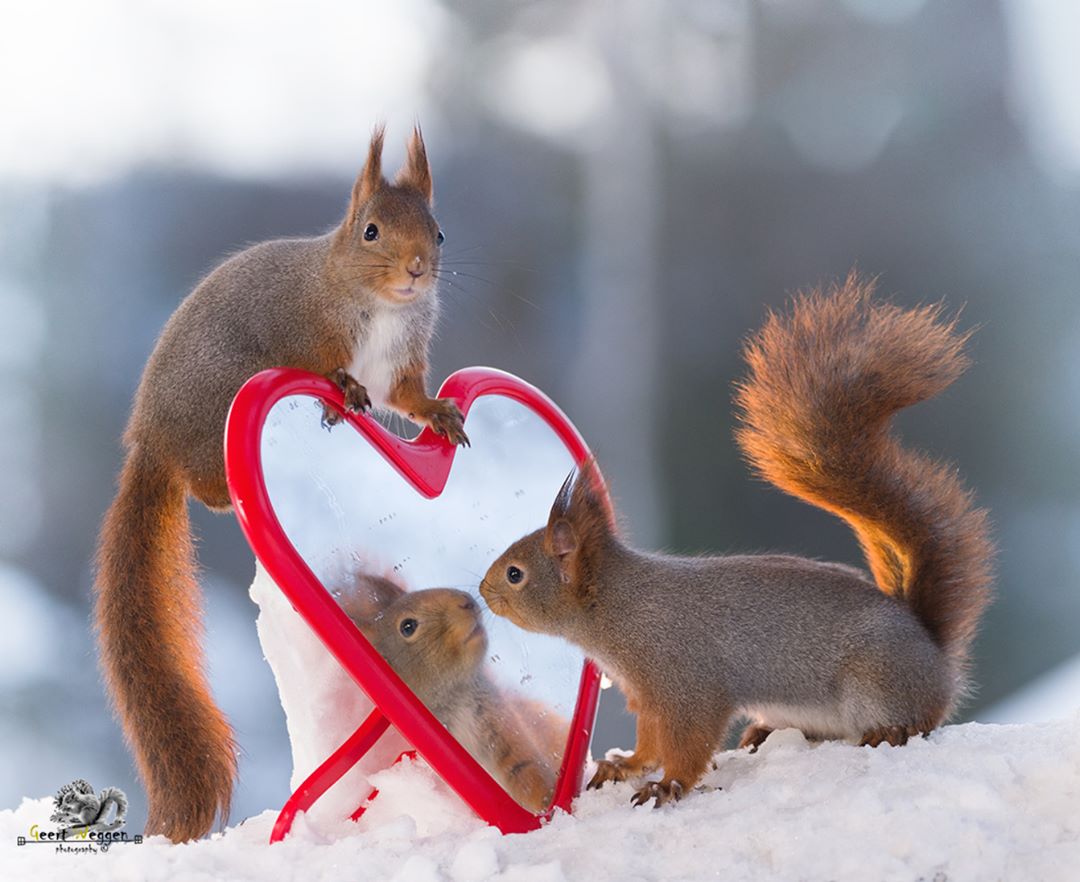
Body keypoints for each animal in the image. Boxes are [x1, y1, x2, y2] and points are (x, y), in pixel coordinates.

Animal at [91, 125, 464, 837]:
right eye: (370, 231)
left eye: (438, 233)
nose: (415, 271)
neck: (375, 303)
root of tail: (152, 441)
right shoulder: (312, 329)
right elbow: (327, 365)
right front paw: (342, 390)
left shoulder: (400, 363)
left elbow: (407, 398)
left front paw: (439, 413)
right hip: (221, 411)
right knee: (205, 488)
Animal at [341, 570, 565, 811]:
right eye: (407, 626)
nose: (466, 601)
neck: (455, 697)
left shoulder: (499, 723)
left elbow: (523, 767)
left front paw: (548, 801)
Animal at [481, 275, 993, 803]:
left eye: (516, 574)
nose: (482, 590)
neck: (617, 605)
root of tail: (935, 657)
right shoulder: (646, 695)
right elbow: (650, 741)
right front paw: (626, 766)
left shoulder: (685, 681)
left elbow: (689, 740)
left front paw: (666, 786)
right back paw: (763, 732)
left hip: (879, 681)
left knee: (919, 719)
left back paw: (891, 730)